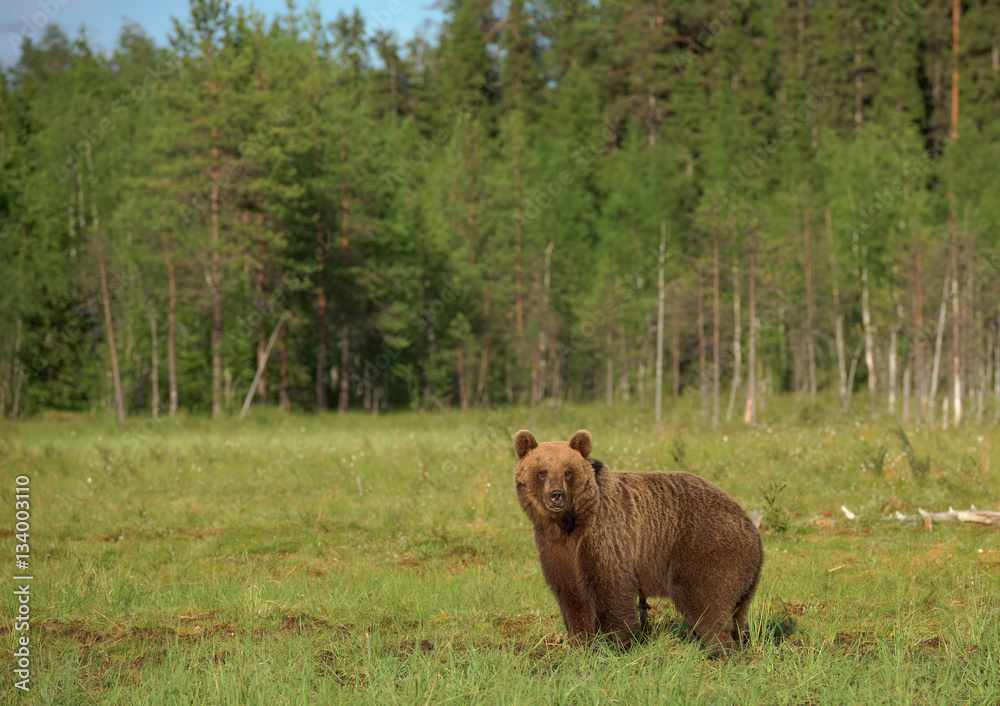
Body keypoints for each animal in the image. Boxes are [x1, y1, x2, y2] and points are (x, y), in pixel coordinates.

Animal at [516, 428, 764, 656]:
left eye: (568, 471)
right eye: (542, 472)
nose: (556, 495)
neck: (570, 524)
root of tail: (752, 528)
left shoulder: (605, 535)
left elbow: (611, 590)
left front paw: (610, 646)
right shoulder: (556, 548)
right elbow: (572, 596)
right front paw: (581, 644)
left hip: (706, 550)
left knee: (706, 604)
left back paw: (719, 651)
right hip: (743, 576)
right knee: (737, 613)